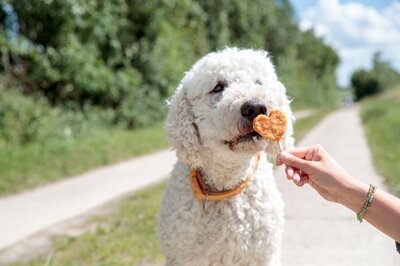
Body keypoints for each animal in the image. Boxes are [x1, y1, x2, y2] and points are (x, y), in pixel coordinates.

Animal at [159, 48, 294, 266]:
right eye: (218, 87)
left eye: (259, 83)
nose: (255, 107)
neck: (227, 184)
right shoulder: (183, 256)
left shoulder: (264, 254)